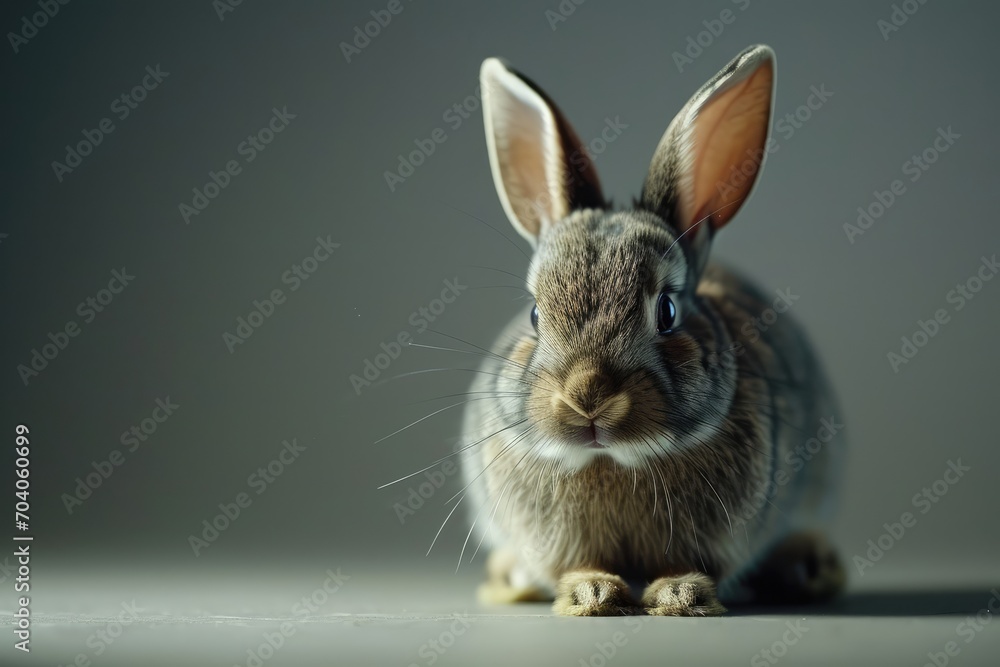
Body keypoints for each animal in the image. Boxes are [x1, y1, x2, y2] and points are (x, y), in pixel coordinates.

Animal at [459, 44, 846, 616]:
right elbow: (578, 565)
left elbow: (689, 567)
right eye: (534, 314)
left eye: (666, 311)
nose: (588, 397)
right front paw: (591, 594)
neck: (613, 460)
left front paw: (680, 596)